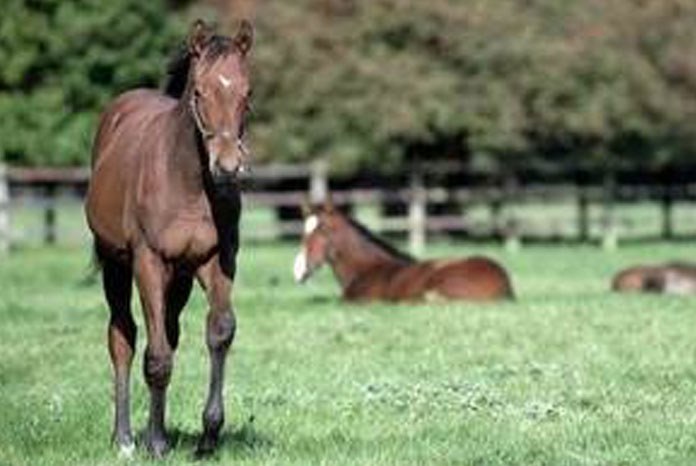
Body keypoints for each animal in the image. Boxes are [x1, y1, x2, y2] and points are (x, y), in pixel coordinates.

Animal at [84, 20, 253, 456]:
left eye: (247, 93)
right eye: (199, 92)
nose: (228, 166)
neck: (189, 184)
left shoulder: (218, 259)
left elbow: (220, 332)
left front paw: (209, 434)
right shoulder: (149, 261)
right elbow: (156, 356)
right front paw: (157, 443)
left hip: (180, 277)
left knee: (170, 332)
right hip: (116, 265)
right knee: (123, 336)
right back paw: (126, 437)